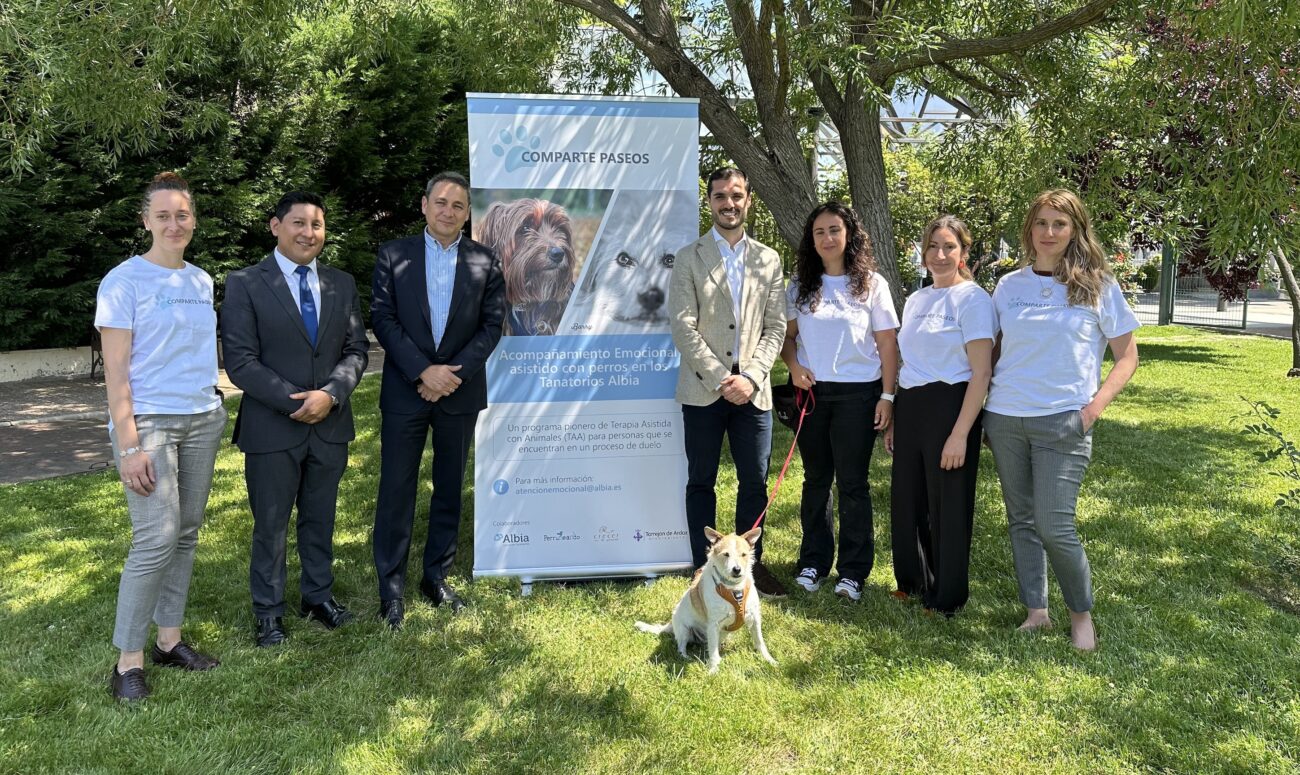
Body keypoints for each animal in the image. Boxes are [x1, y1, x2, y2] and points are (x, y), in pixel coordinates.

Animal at [634, 527, 774, 670]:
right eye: (726, 554)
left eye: (744, 554)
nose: (737, 569)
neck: (733, 588)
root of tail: (671, 624)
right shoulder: (713, 625)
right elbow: (713, 651)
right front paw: (713, 670)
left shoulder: (755, 618)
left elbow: (760, 642)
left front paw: (769, 660)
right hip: (684, 630)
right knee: (681, 647)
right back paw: (686, 657)